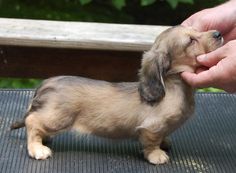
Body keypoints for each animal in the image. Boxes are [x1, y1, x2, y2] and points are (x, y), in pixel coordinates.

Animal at [10, 26, 223, 165]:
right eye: (191, 41)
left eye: (197, 30)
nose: (219, 33)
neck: (174, 87)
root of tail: (47, 84)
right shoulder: (151, 128)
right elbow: (151, 142)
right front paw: (156, 155)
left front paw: (165, 143)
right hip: (58, 118)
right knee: (32, 121)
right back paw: (37, 149)